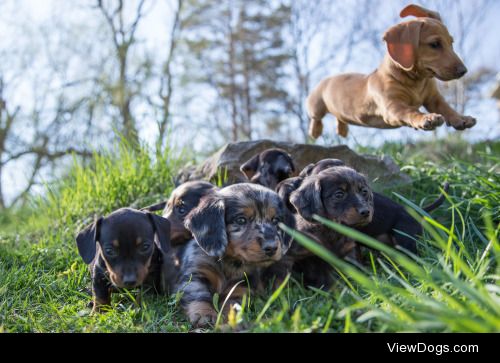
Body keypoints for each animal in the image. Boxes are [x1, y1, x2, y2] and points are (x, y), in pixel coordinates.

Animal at [308, 3, 476, 139]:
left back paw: (342, 130)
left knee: (340, 117)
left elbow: (446, 108)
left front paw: (460, 118)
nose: (464, 71)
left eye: (451, 43)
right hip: (316, 106)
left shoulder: (433, 98)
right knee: (316, 118)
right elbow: (410, 111)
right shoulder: (393, 107)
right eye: (434, 44)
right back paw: (315, 131)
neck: (415, 81)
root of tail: (328, 79)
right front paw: (425, 118)